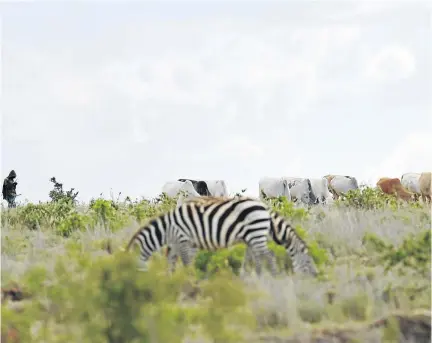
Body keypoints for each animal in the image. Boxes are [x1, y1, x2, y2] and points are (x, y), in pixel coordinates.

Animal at [126, 196, 278, 276]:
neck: (167, 229)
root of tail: (263, 207)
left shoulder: (183, 240)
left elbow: (186, 262)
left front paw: (188, 280)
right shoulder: (178, 244)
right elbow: (172, 261)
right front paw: (172, 279)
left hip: (256, 232)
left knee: (269, 255)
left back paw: (272, 279)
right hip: (252, 235)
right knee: (259, 256)